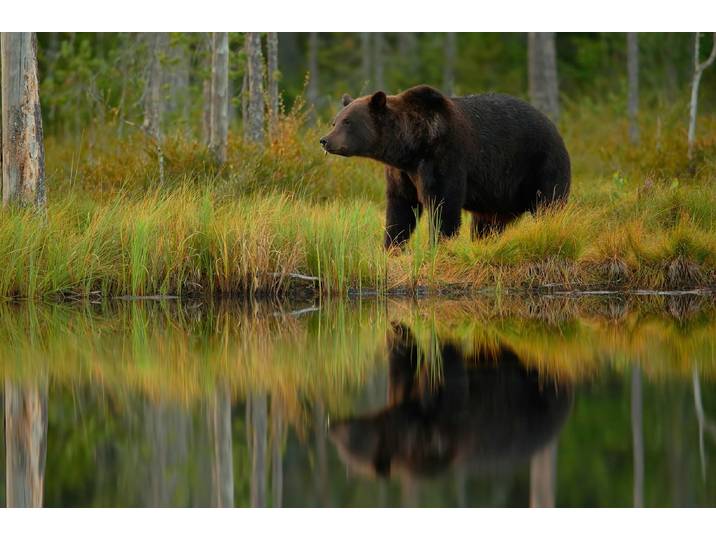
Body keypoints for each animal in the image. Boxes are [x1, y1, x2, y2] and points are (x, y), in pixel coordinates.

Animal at [319, 85, 571, 249]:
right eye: (335, 121)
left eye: (348, 122)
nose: (325, 140)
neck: (411, 147)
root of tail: (555, 128)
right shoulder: (402, 173)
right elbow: (400, 209)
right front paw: (392, 247)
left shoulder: (444, 157)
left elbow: (444, 205)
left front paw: (438, 246)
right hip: (497, 196)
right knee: (486, 224)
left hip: (540, 164)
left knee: (549, 204)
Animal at [329, 322, 572, 479]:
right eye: (341, 449)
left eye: (345, 443)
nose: (332, 426)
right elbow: (405, 361)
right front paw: (398, 334)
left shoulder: (446, 425)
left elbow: (447, 373)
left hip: (538, 391)